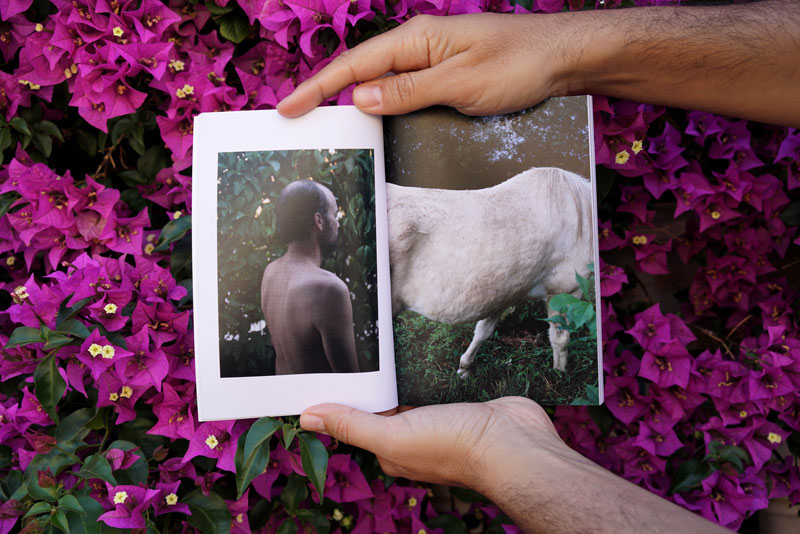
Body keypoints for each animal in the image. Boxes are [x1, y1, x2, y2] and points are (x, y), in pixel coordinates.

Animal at [388, 168, 592, 376]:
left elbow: (483, 331)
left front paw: (464, 366)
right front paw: (560, 373)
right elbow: (560, 340)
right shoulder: (564, 292)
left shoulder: (502, 292)